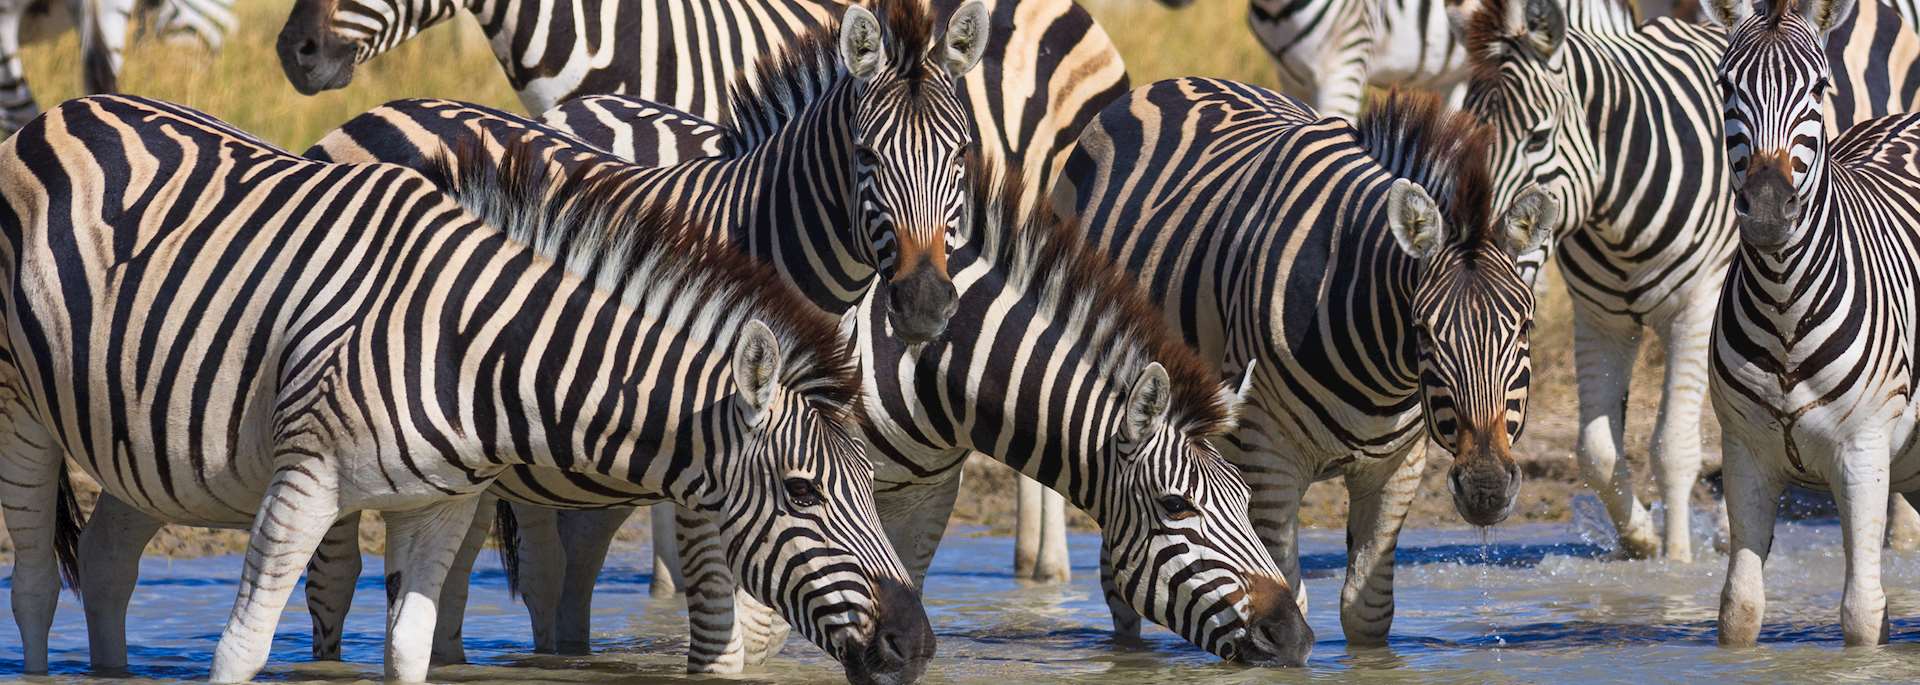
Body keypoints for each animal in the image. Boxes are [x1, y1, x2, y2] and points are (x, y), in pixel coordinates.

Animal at [0, 94, 931, 683]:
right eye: (803, 491)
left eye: (870, 486)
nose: (916, 643)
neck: (474, 350)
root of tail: (63, 110)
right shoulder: (304, 481)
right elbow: (241, 649)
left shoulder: (438, 504)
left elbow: (411, 653)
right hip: (23, 413)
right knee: (36, 589)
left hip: (138, 435)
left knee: (108, 561)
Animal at [1053, 82, 1556, 645]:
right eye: (1423, 331)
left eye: (1525, 327)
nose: (1486, 491)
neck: (1382, 373)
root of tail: (1170, 83)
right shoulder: (1267, 456)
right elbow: (1286, 594)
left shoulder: (1398, 467)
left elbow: (1366, 610)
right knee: (1118, 589)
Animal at [1450, 0, 1920, 560]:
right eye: (1465, 136)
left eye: (1538, 137)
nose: (1479, 260)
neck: (1615, 210)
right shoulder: (1599, 319)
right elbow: (1596, 451)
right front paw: (1640, 539)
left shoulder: (1696, 308)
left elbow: (1672, 445)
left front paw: (1676, 562)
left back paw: (1901, 535)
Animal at [1702, 0, 1920, 647]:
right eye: (1727, 85)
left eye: (1820, 87)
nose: (1770, 211)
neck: (1784, 308)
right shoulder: (1744, 455)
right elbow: (1739, 610)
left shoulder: (1865, 453)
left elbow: (1862, 615)